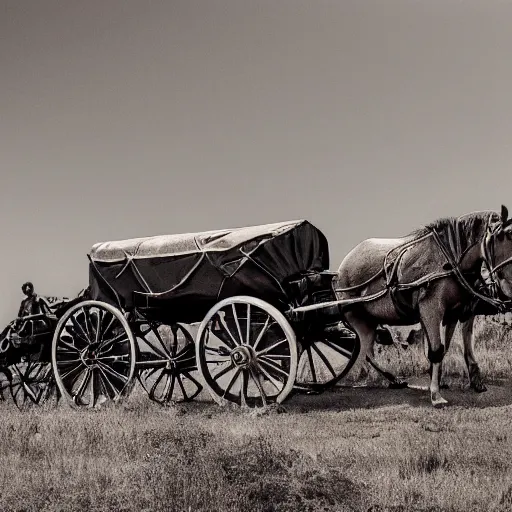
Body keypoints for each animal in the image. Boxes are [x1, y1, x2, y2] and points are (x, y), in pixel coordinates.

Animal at [334, 206, 512, 406]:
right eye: (503, 237)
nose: (509, 289)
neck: (450, 260)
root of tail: (343, 266)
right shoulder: (431, 308)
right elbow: (436, 350)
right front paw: (435, 394)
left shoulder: (456, 312)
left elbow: (446, 347)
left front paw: (449, 380)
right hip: (355, 317)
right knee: (364, 351)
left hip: (369, 321)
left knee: (367, 350)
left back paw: (392, 380)